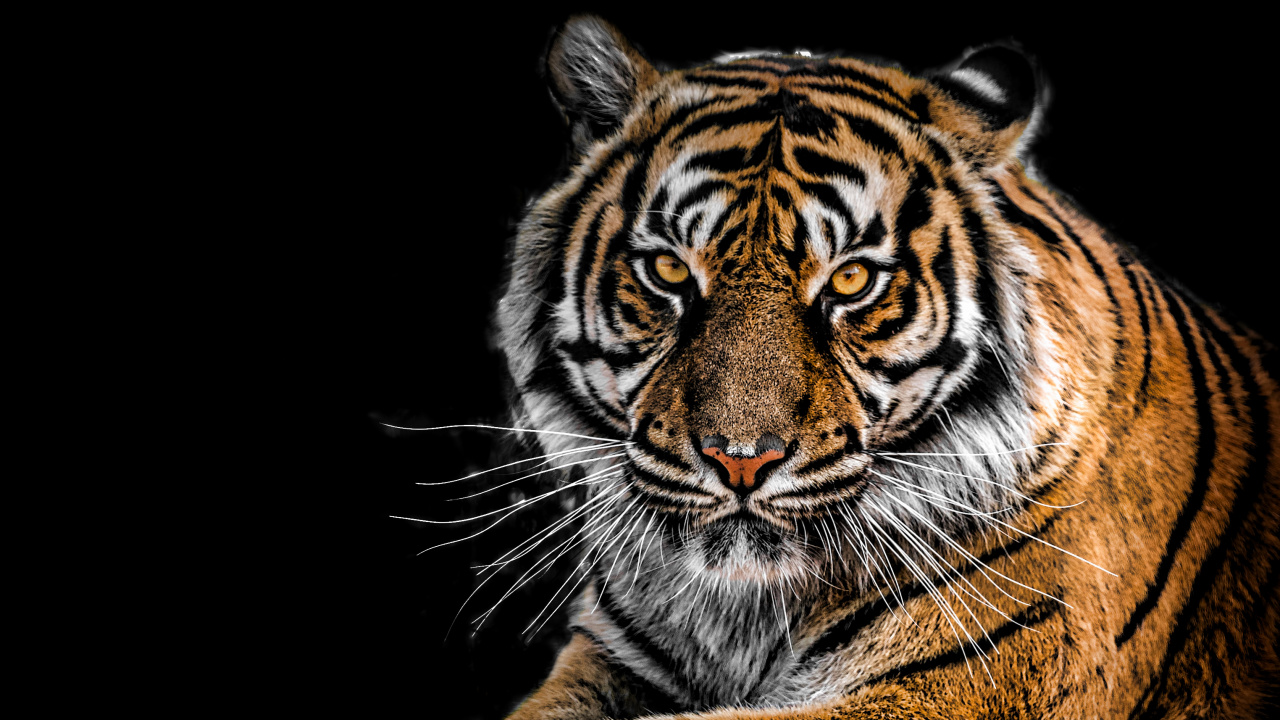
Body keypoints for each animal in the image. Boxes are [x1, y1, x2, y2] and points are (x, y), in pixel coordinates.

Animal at [468, 15, 1280, 720]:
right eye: (668, 269)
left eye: (852, 280)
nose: (739, 461)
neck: (741, 611)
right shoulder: (610, 659)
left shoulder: (958, 686)